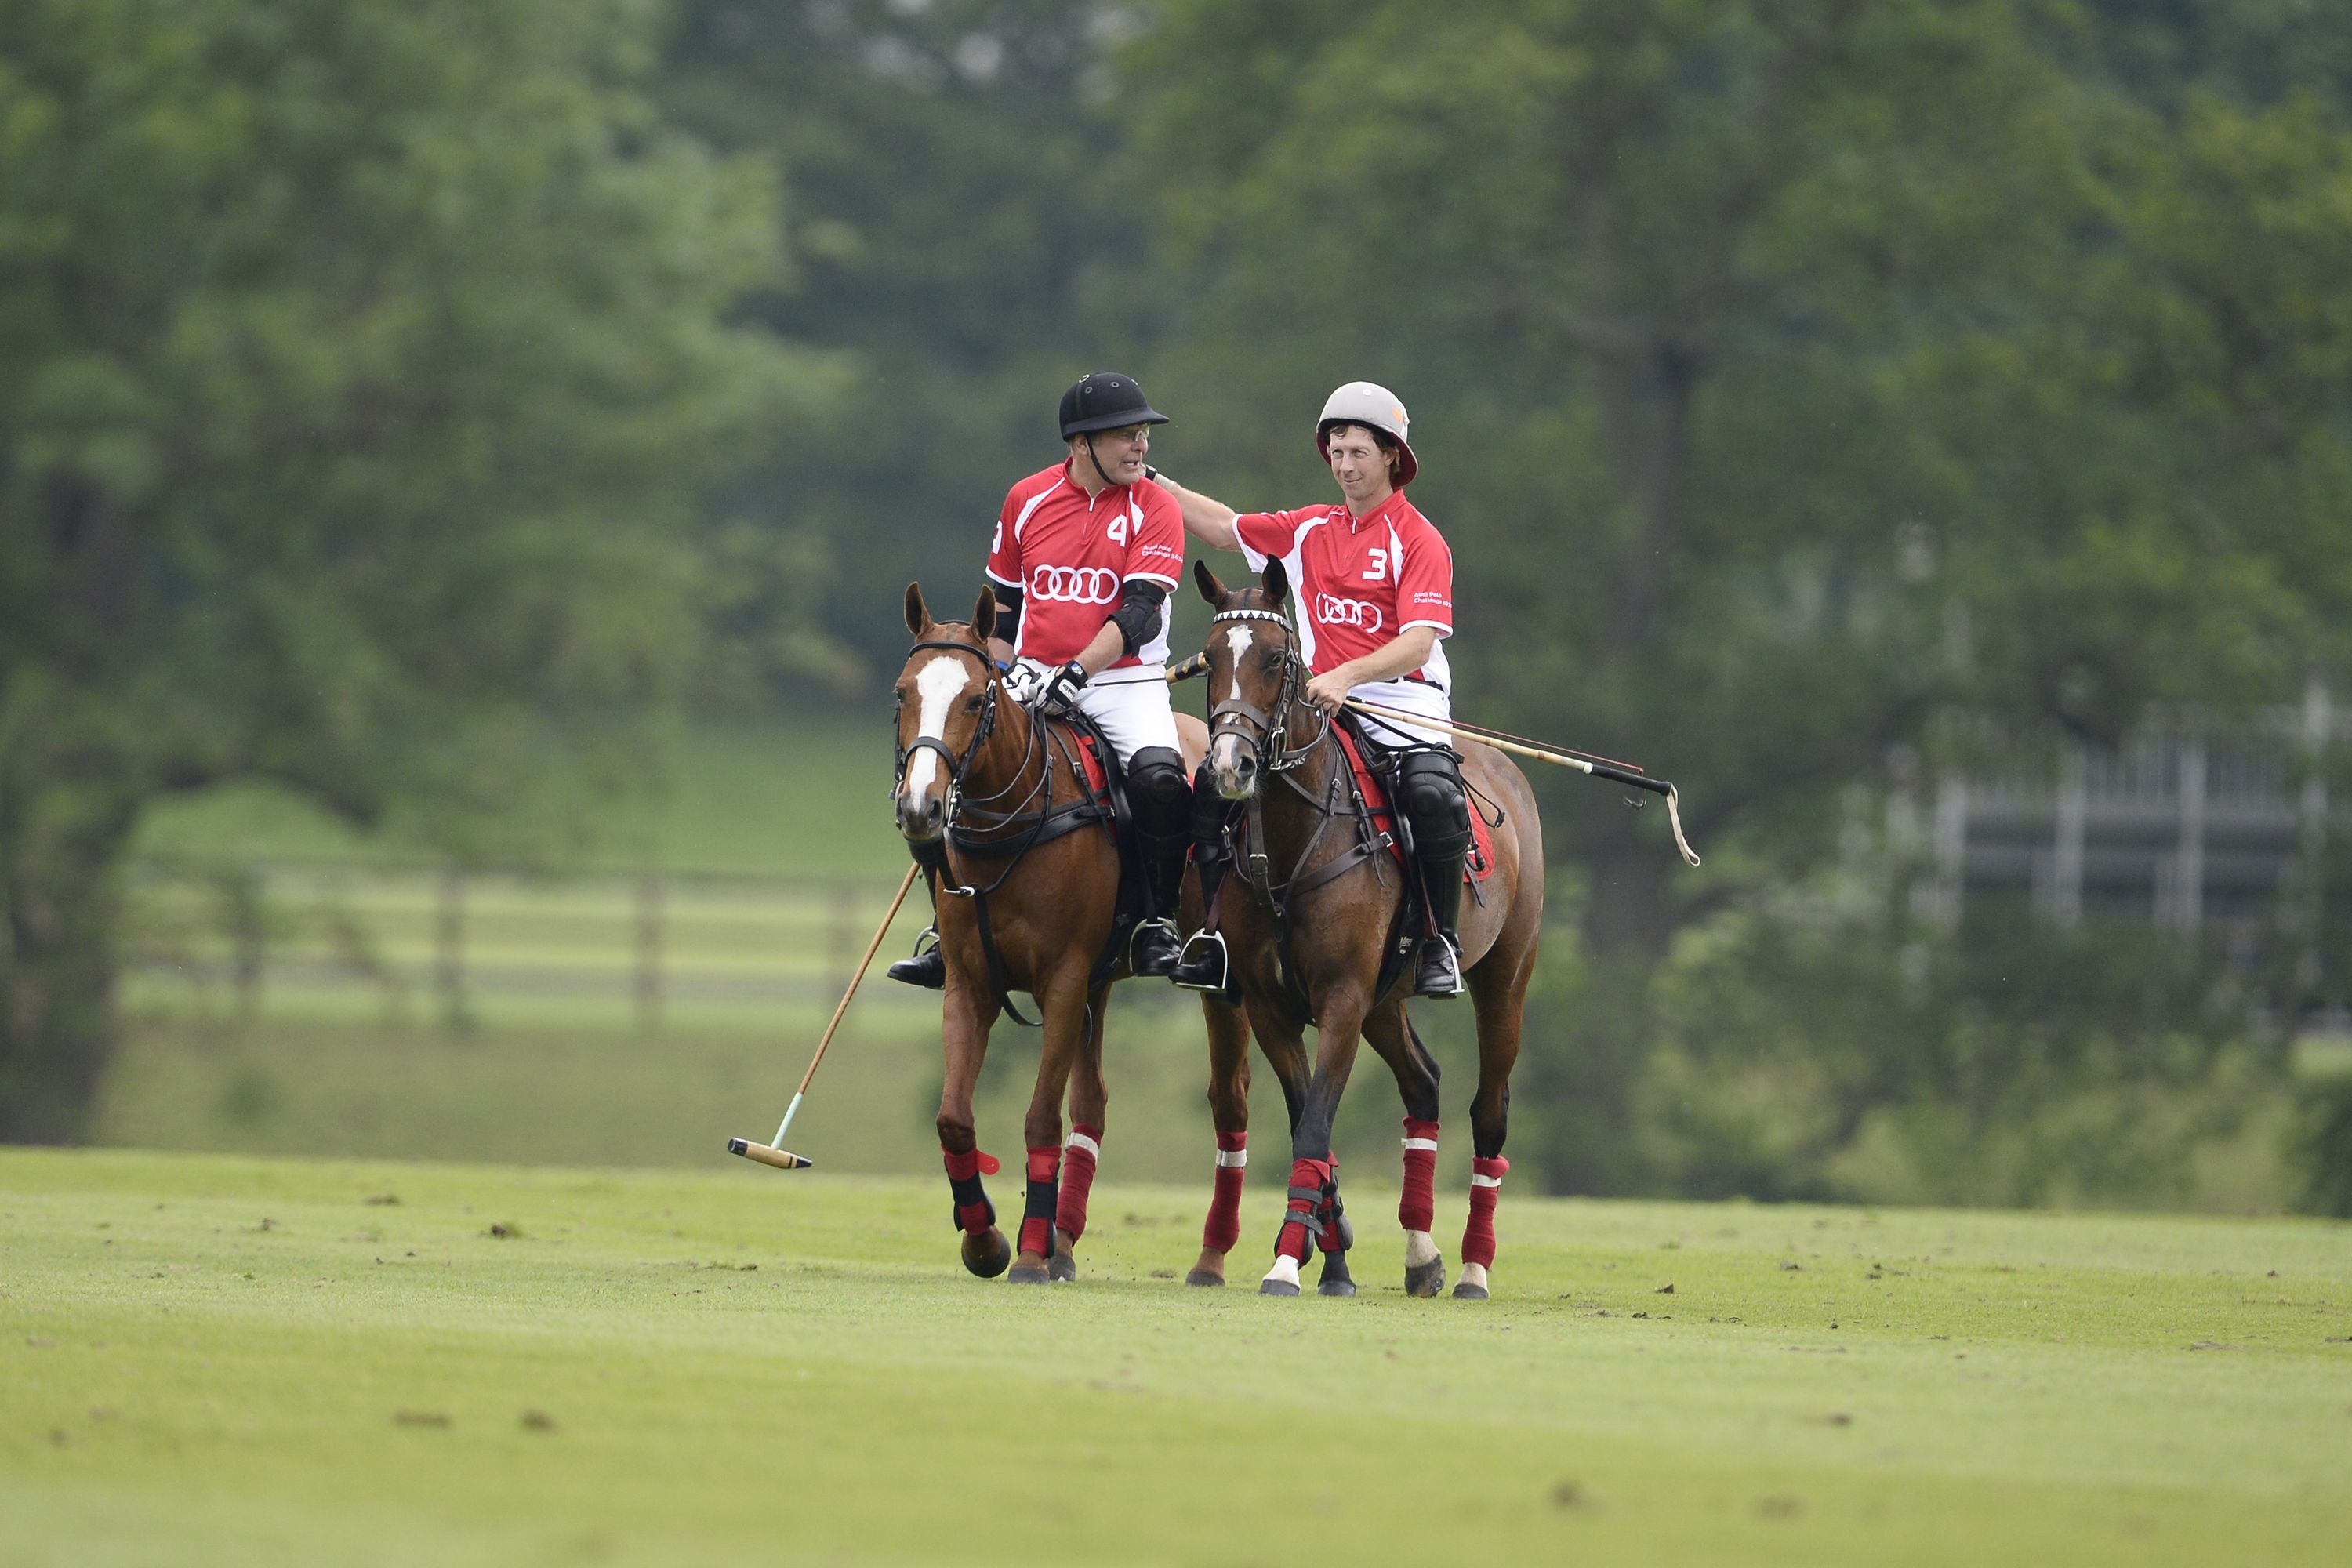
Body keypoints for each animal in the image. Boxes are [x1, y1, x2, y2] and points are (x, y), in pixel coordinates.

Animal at [884, 587, 1251, 1288]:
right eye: (902, 692)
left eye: (975, 699)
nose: (920, 807)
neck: (1012, 820)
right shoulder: (972, 983)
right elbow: (953, 1119)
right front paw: (985, 1242)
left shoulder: (1061, 979)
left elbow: (1037, 1118)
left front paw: (1025, 1254)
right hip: (1100, 983)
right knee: (1093, 1102)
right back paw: (1064, 1242)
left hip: (1212, 982)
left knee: (1229, 1100)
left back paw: (1209, 1259)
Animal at [1195, 561, 1543, 1298]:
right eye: (1209, 660)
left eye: (1276, 660)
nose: (1230, 768)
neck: (1292, 845)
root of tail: (1507, 768)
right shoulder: (1272, 1007)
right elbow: (1312, 1127)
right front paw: (1329, 1258)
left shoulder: (1341, 1000)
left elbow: (1313, 1129)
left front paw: (1287, 1264)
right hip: (1386, 1000)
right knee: (1425, 1083)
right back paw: (1422, 1255)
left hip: (1505, 978)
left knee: (1489, 1110)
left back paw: (1474, 1268)